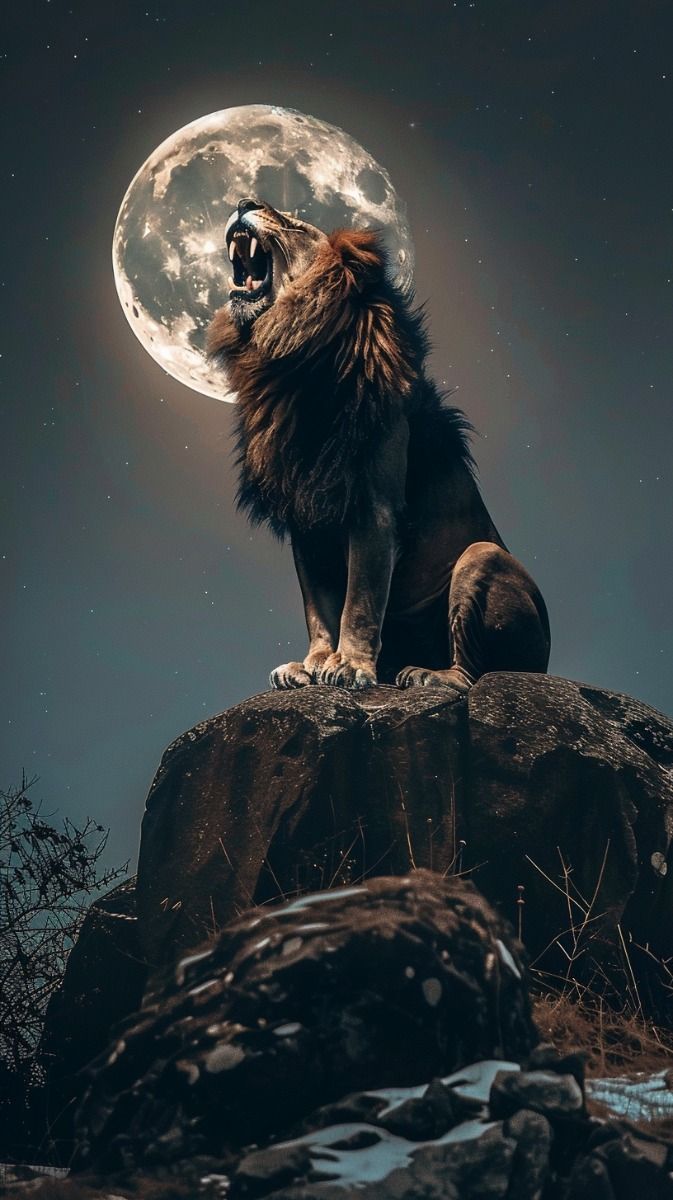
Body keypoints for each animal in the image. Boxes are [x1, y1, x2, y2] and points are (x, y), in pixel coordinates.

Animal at [207, 197, 550, 693]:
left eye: (292, 224)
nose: (243, 202)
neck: (292, 368)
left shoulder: (373, 506)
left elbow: (359, 602)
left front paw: (350, 666)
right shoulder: (305, 515)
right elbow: (318, 608)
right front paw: (311, 664)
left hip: (481, 558)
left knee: (475, 673)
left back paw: (428, 674)